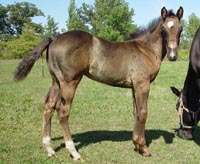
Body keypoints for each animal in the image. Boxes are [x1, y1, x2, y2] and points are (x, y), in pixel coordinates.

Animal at [14, 6, 184, 160]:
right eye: (164, 29)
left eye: (180, 29)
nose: (173, 55)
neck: (146, 49)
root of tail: (54, 38)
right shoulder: (142, 84)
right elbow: (143, 113)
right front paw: (144, 148)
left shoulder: (134, 86)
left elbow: (135, 112)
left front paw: (136, 145)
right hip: (70, 82)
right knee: (63, 112)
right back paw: (74, 152)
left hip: (56, 81)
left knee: (48, 106)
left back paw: (50, 149)